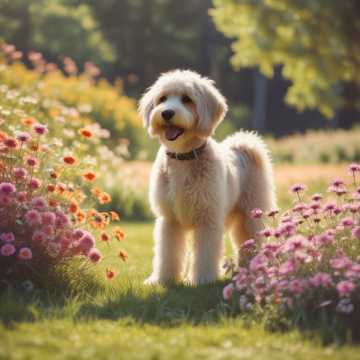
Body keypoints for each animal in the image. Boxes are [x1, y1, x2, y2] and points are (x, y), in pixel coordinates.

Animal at [138, 69, 276, 284]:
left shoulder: (207, 220)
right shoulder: (169, 221)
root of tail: (244, 146)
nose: (167, 113)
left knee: (254, 239)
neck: (183, 158)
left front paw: (202, 279)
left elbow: (205, 254)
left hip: (252, 214)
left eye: (187, 99)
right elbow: (167, 253)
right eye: (162, 98)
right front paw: (162, 280)